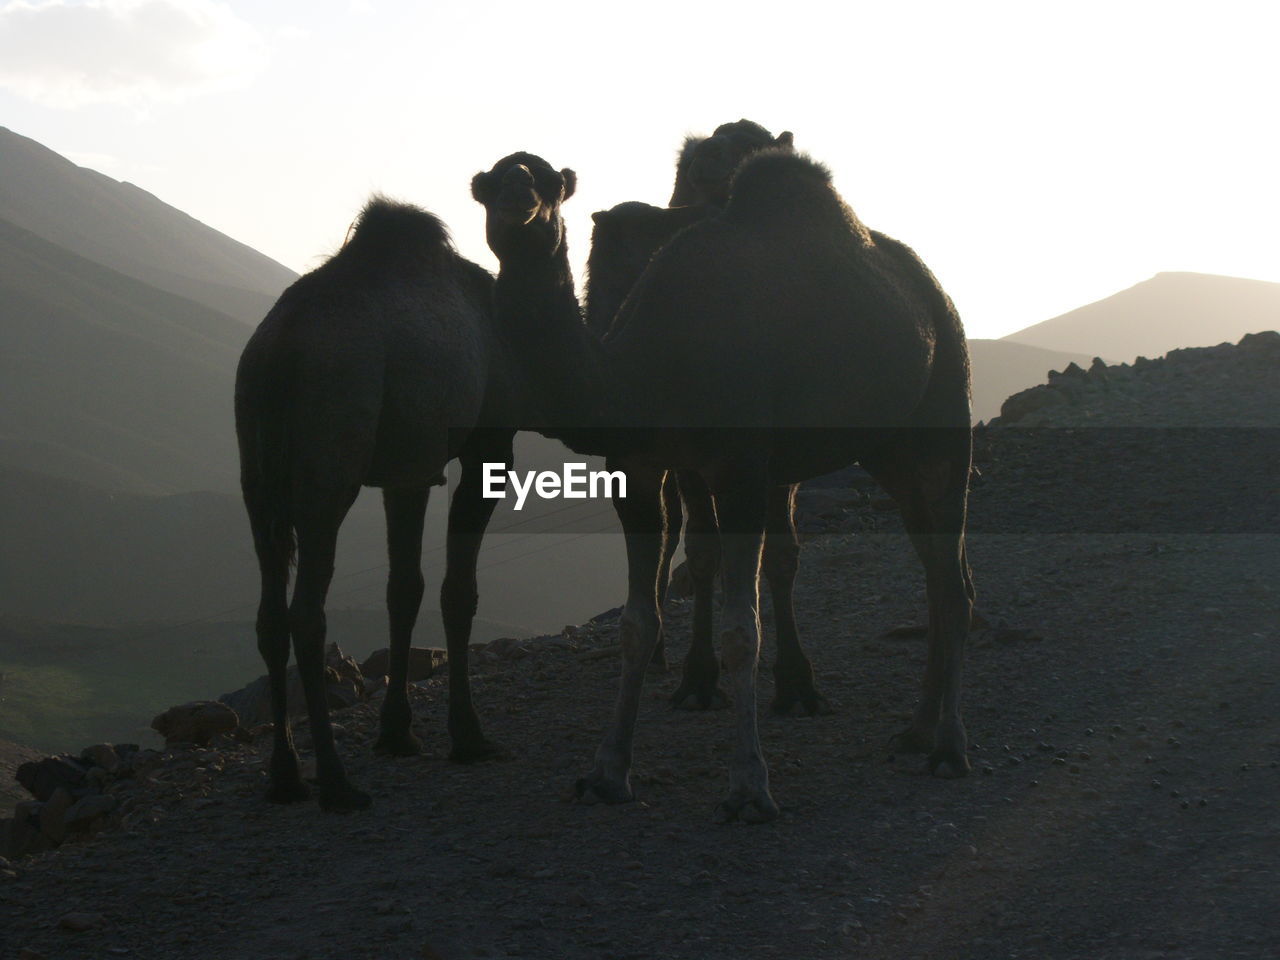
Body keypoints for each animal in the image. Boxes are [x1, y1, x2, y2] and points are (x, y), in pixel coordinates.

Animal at [240, 197, 514, 814]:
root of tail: (277, 354)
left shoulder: (409, 470)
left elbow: (404, 588)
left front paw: (398, 733)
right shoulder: (485, 447)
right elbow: (457, 591)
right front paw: (470, 737)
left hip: (256, 479)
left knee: (270, 614)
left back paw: (287, 776)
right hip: (328, 464)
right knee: (306, 612)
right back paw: (337, 782)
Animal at [476, 150, 972, 829]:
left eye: (551, 186)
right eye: (489, 183)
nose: (519, 200)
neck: (647, 371)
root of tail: (934, 292)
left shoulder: (742, 471)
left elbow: (743, 631)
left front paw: (749, 788)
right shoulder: (637, 473)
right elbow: (636, 623)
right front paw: (605, 774)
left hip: (947, 403)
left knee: (950, 572)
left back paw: (949, 748)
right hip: (887, 446)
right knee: (933, 567)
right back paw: (917, 732)